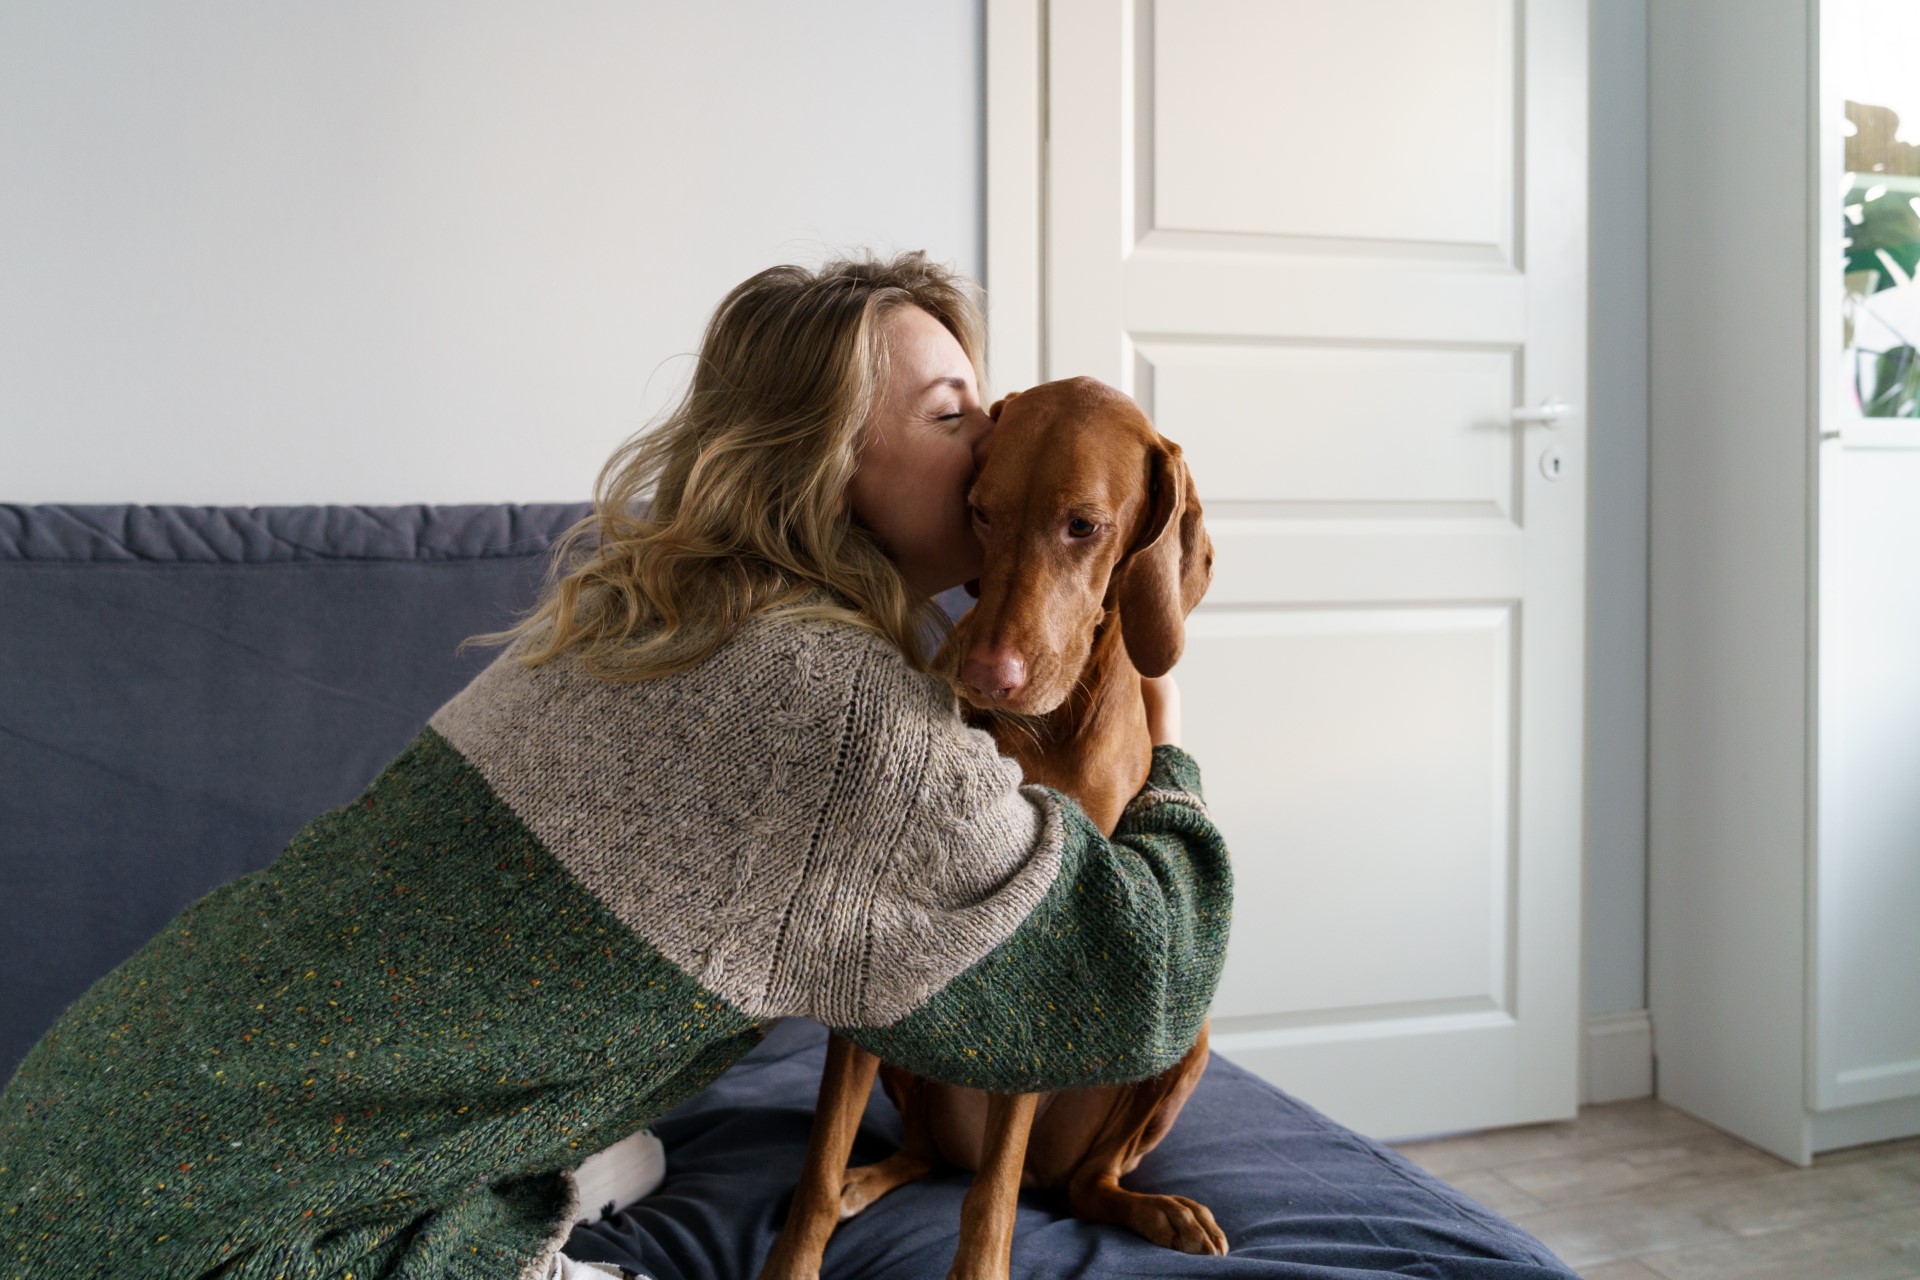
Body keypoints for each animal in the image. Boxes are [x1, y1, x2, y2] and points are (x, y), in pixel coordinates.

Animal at [760, 379, 1213, 1280]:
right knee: (929, 1156)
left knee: (1075, 1186)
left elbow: (991, 1198)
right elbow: (819, 1166)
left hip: (1185, 1041)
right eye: (979, 510)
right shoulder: (868, 957)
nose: (984, 676)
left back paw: (1156, 1210)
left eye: (1084, 525)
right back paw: (869, 1180)